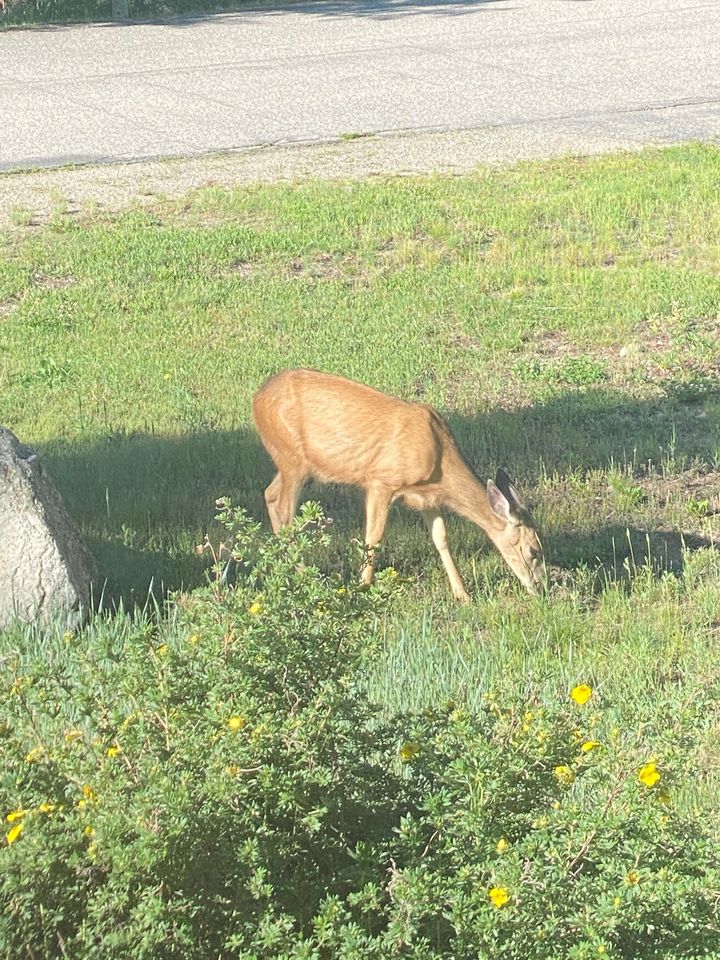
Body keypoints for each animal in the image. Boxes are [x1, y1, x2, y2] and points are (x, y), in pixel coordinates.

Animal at [252, 369, 545, 602]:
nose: (541, 589)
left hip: (289, 462)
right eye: (534, 551)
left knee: (269, 495)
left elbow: (441, 538)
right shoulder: (381, 481)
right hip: (293, 460)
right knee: (285, 513)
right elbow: (374, 538)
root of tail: (256, 399)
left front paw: (463, 595)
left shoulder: (427, 496)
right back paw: (305, 577)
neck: (439, 456)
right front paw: (363, 588)